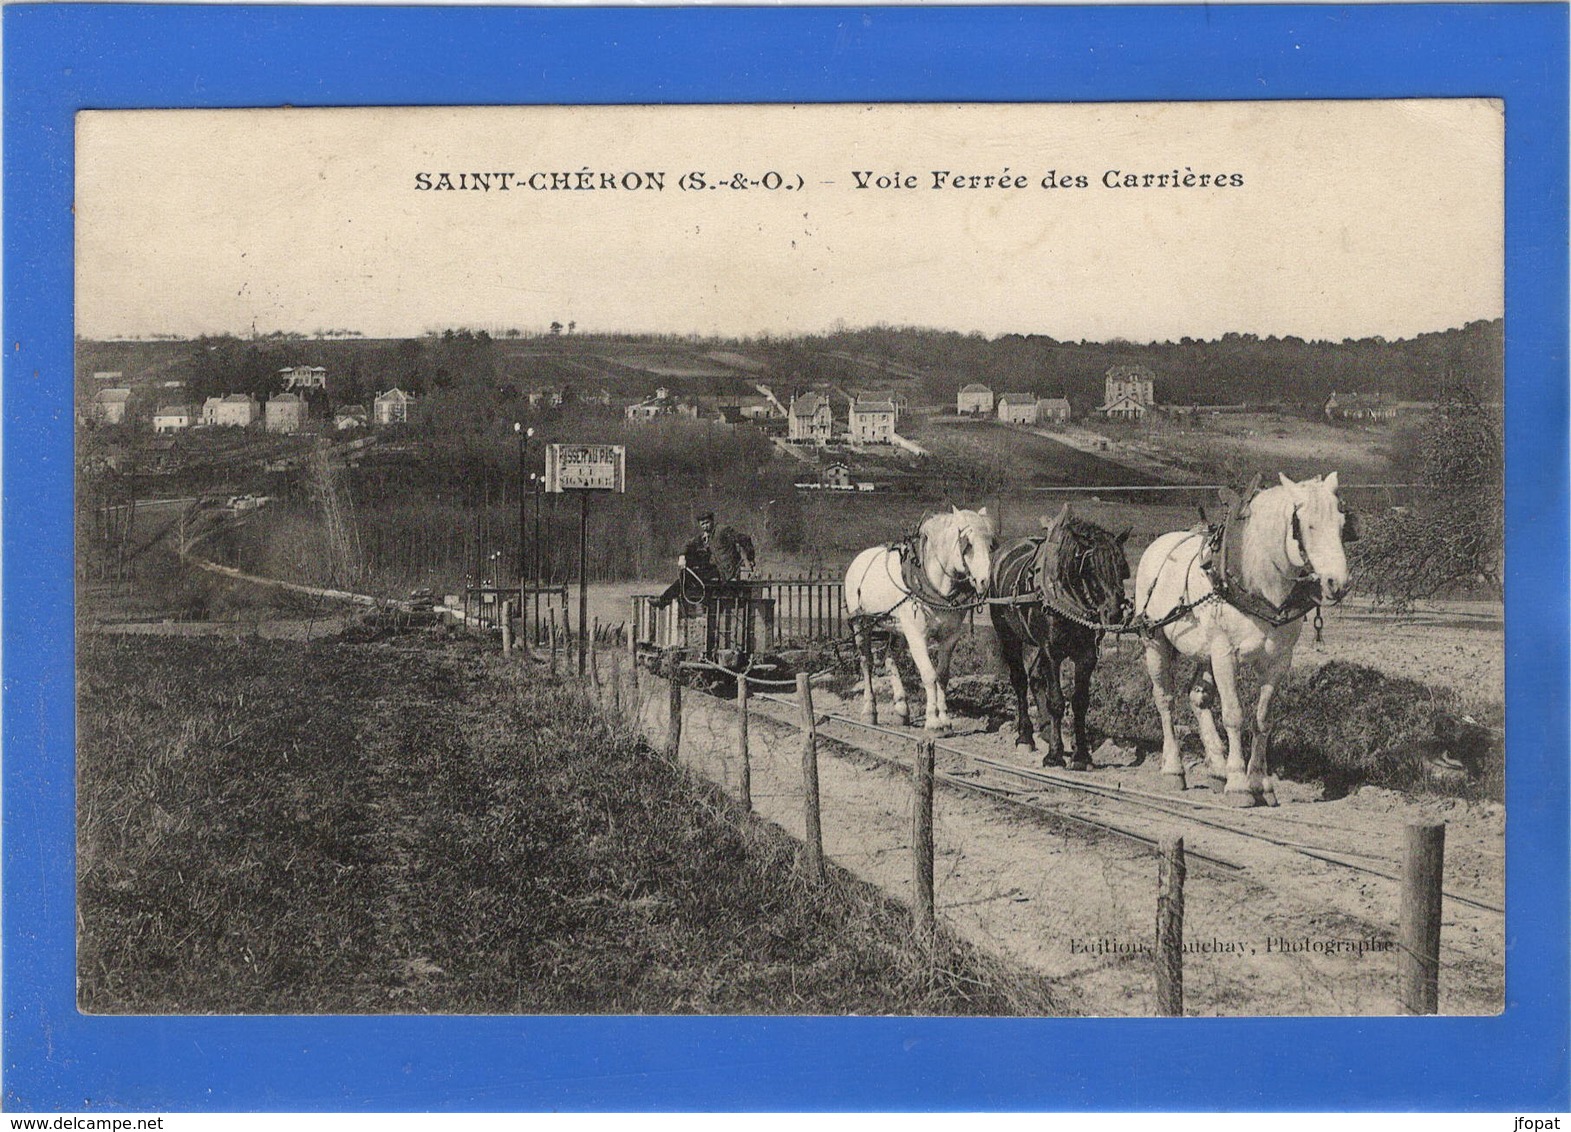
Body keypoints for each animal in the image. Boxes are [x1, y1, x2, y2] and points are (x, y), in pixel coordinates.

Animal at [848, 505, 992, 731]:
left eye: (990, 544)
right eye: (967, 544)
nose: (985, 580)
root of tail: (860, 558)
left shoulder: (949, 638)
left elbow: (942, 676)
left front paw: (945, 719)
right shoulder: (917, 636)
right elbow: (929, 674)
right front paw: (933, 721)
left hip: (897, 627)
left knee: (891, 659)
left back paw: (901, 709)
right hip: (861, 624)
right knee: (866, 662)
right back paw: (869, 711)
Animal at [992, 502, 1131, 769]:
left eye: (1121, 567)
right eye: (1092, 568)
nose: (1114, 613)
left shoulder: (1086, 655)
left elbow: (1080, 702)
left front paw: (1082, 754)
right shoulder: (1052, 652)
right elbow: (1056, 701)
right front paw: (1054, 755)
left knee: (1035, 676)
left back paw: (1046, 729)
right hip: (1008, 635)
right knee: (1020, 680)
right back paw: (1025, 736)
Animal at [1137, 471, 1357, 803]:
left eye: (1343, 525)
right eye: (1308, 526)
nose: (1338, 583)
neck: (1256, 582)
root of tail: (1161, 543)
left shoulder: (1278, 660)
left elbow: (1263, 718)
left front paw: (1260, 783)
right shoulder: (1225, 655)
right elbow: (1234, 715)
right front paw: (1239, 783)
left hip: (1205, 654)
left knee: (1198, 697)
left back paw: (1217, 769)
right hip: (1156, 642)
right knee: (1165, 700)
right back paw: (1174, 769)